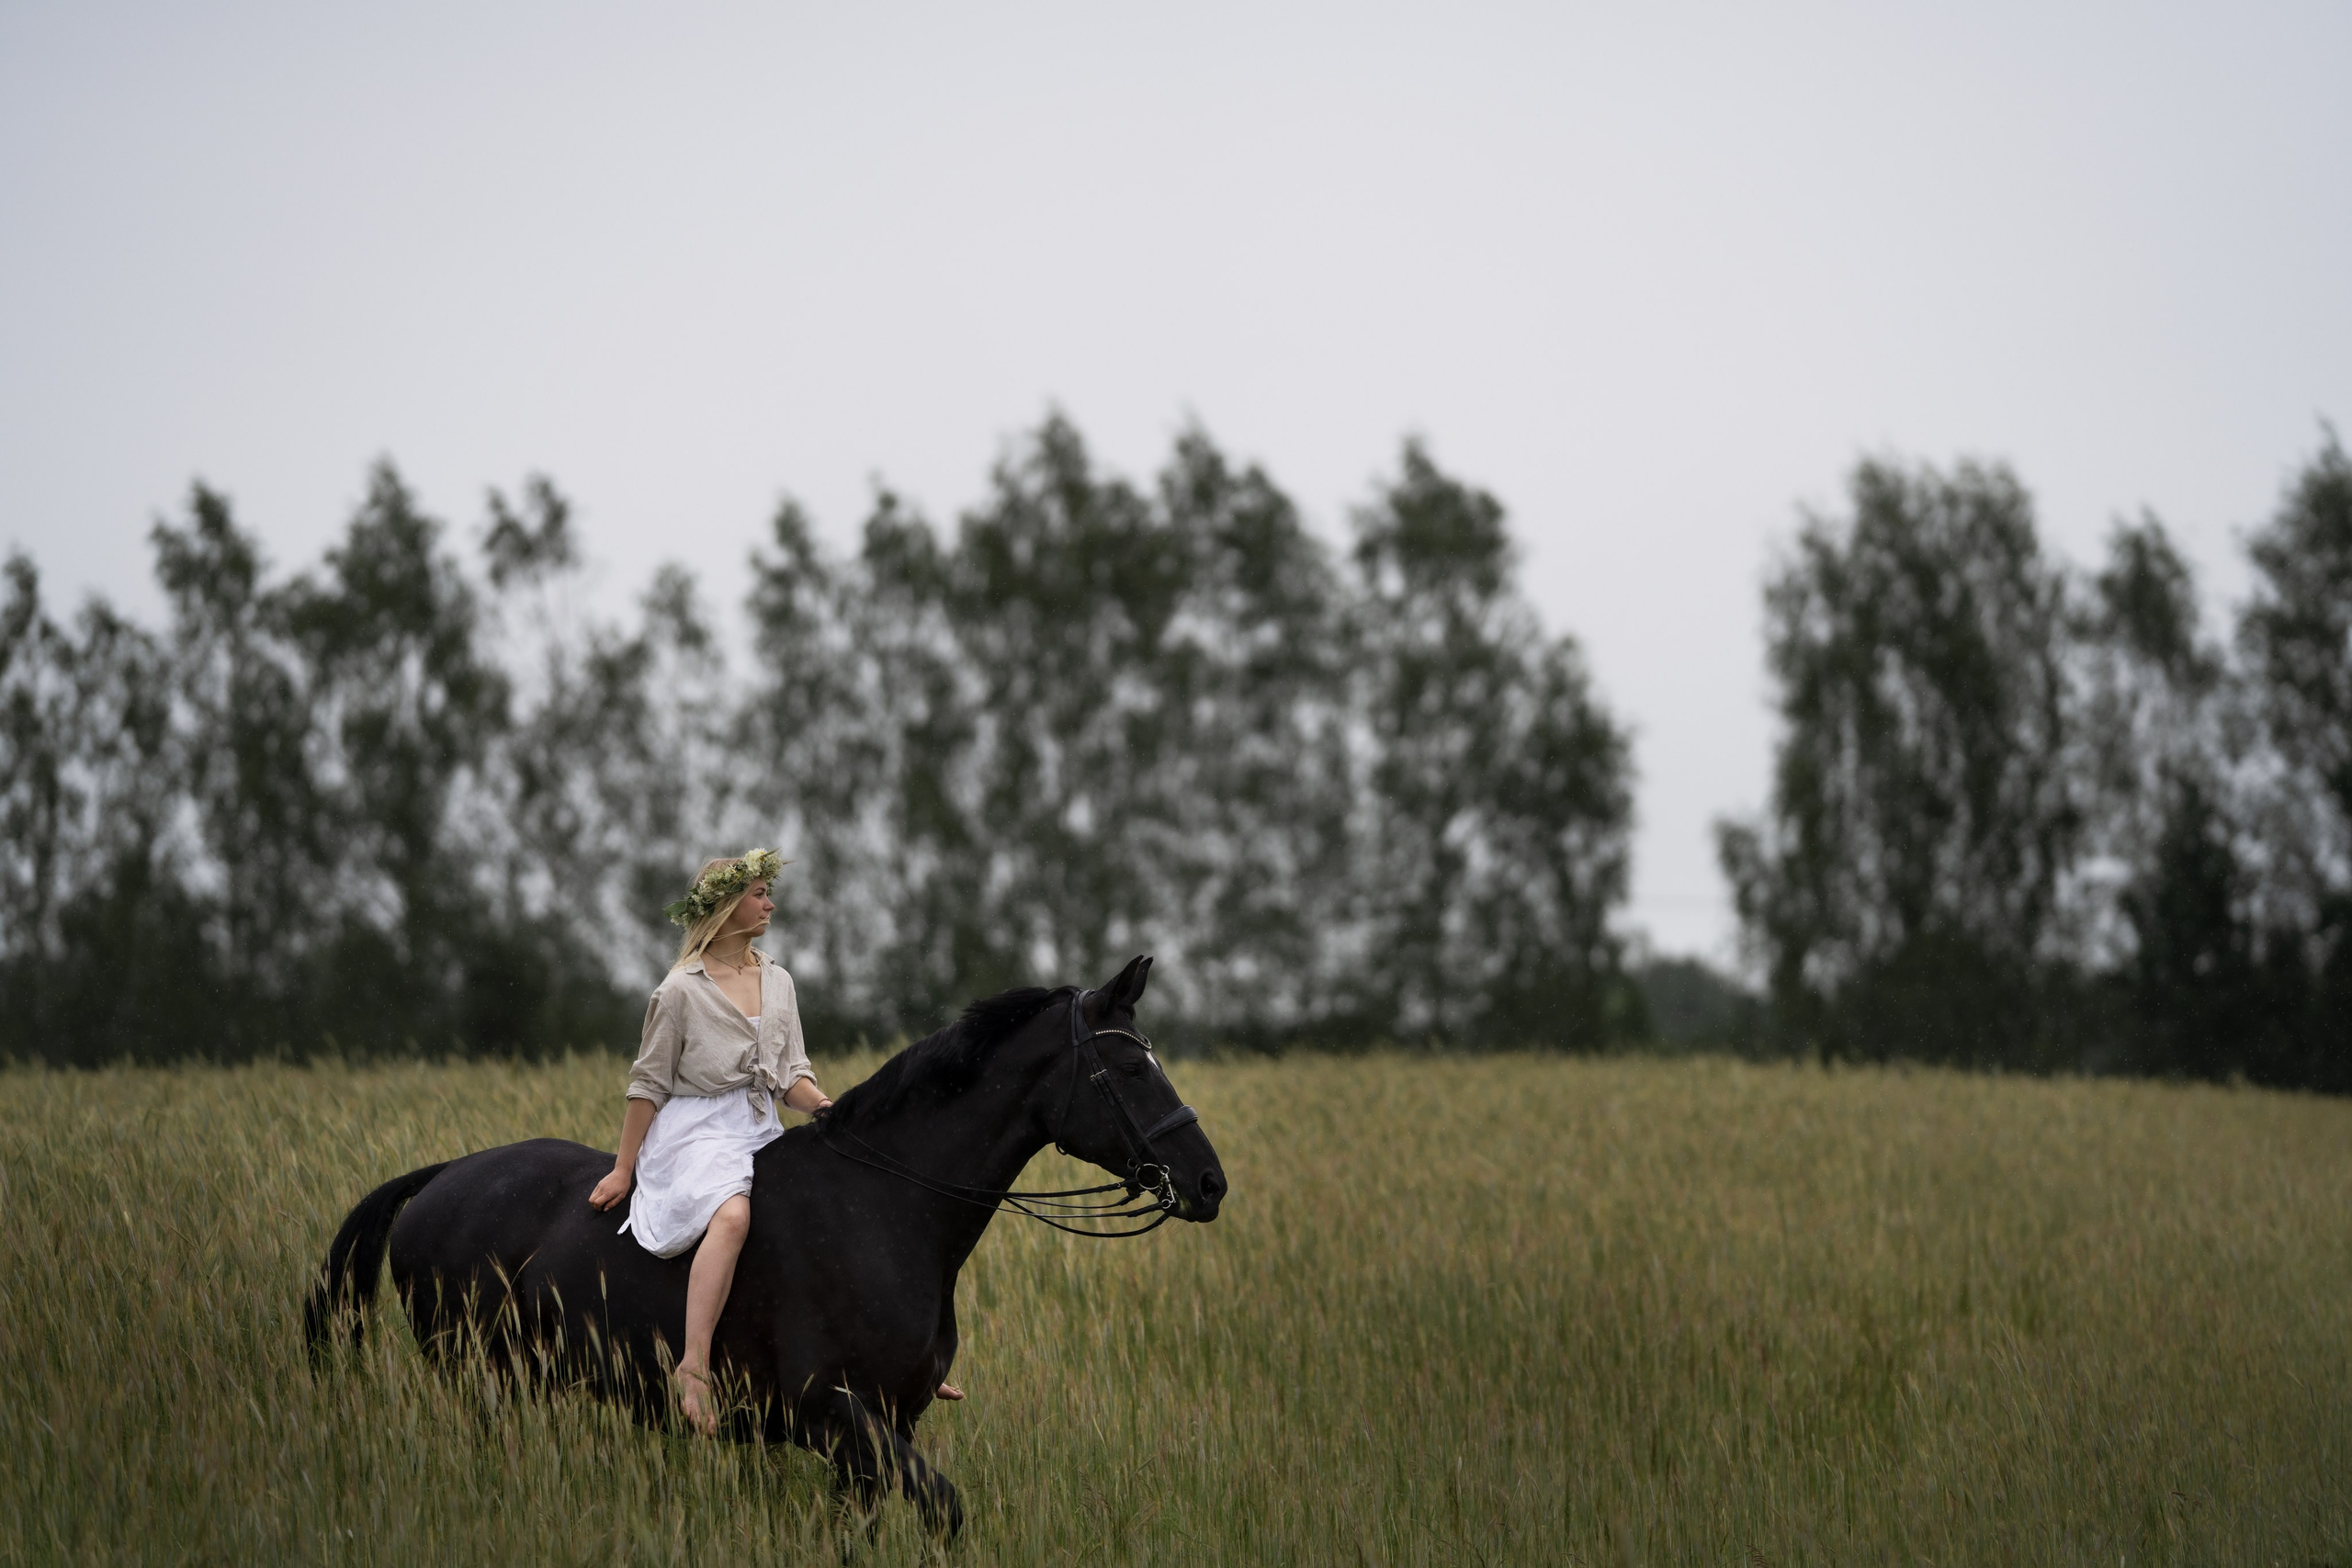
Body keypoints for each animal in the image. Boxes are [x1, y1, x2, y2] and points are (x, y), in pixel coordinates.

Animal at [303, 955, 1225, 1538]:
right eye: (1130, 1071)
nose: (1209, 1183)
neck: (888, 1206)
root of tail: (444, 1177)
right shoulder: (830, 1412)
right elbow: (944, 1508)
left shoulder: (883, 1428)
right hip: (478, 1375)